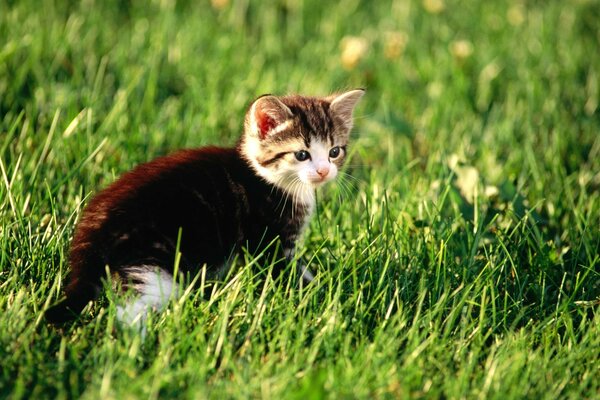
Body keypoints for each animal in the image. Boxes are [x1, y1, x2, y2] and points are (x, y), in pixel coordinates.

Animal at [44, 90, 364, 324]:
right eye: (301, 154)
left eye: (335, 151)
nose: (324, 171)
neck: (267, 178)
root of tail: (90, 235)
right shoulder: (270, 241)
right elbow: (290, 271)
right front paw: (327, 292)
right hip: (154, 264)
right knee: (127, 309)